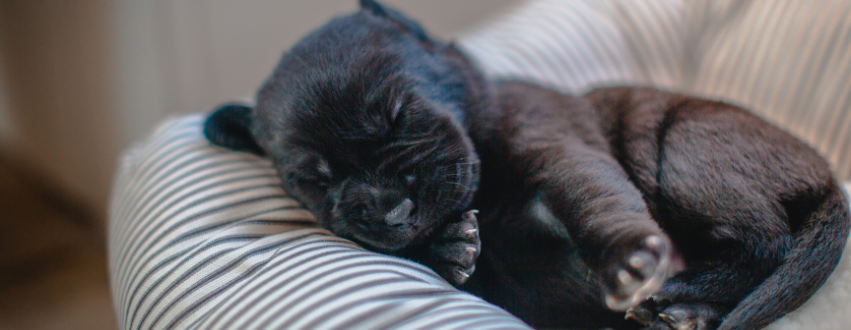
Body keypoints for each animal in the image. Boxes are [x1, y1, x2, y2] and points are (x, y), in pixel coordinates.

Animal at [203, 1, 848, 328]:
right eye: (314, 180)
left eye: (398, 115)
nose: (392, 212)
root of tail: (830, 183)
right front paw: (447, 248)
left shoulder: (558, 150)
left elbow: (592, 200)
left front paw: (627, 260)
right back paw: (689, 309)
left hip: (686, 154)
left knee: (765, 245)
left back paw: (683, 294)